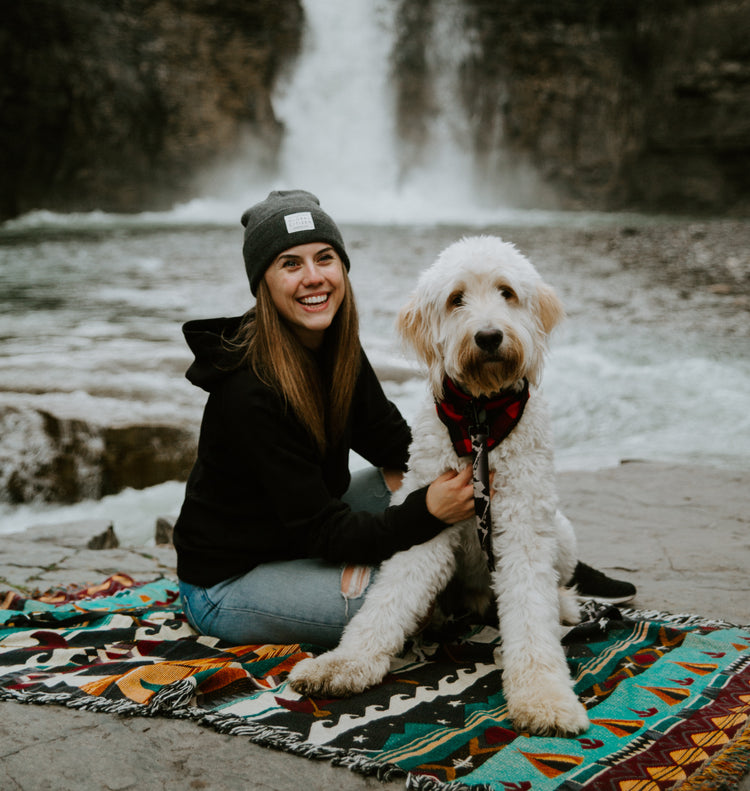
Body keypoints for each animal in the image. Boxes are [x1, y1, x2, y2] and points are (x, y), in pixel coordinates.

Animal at [290, 234, 592, 736]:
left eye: (507, 292)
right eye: (456, 299)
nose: (488, 336)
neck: (480, 421)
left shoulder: (524, 527)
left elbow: (532, 613)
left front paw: (544, 697)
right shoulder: (425, 517)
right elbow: (388, 600)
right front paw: (343, 663)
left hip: (562, 531)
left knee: (553, 591)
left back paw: (563, 605)